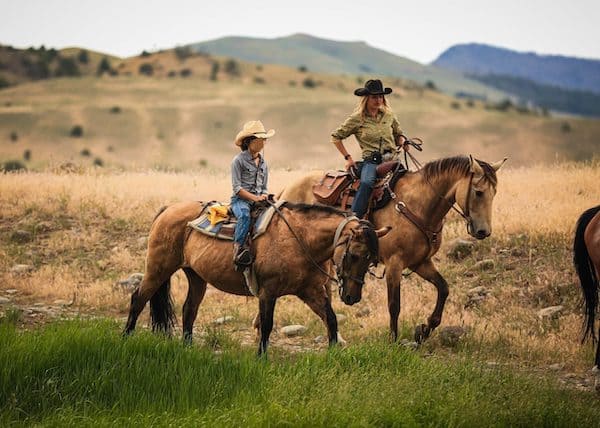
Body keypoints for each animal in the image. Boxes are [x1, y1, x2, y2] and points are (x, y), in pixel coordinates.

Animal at [124, 202, 392, 356]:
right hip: (158, 268)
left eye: (372, 260)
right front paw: (261, 358)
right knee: (138, 299)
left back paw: (188, 348)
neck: (300, 239)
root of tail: (167, 211)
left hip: (196, 277)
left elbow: (331, 320)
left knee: (189, 310)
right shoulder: (268, 292)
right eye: (354, 255)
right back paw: (126, 337)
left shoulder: (311, 292)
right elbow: (266, 325)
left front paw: (334, 354)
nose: (352, 296)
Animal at [278, 155, 504, 342]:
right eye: (478, 192)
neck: (417, 205)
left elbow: (443, 288)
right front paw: (393, 342)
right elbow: (394, 305)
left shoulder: (421, 262)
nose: (484, 231)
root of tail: (287, 188)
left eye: (494, 193)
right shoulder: (395, 263)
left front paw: (424, 330)